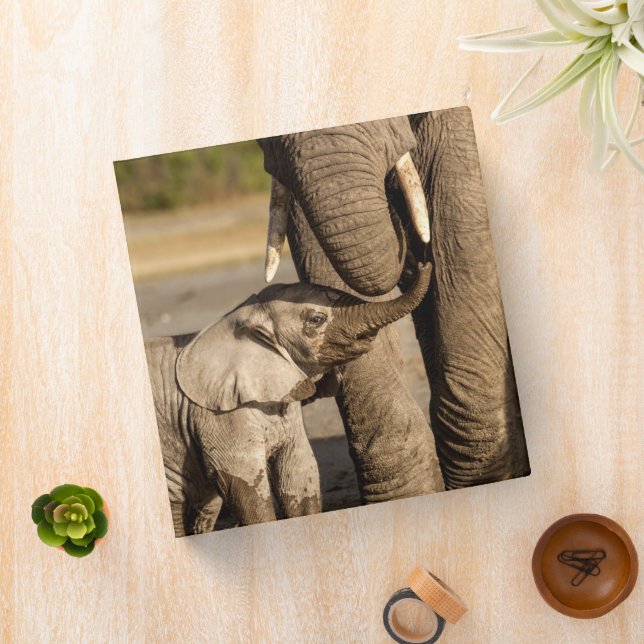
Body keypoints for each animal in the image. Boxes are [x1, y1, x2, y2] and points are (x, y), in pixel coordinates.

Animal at [145, 264, 431, 536]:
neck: (240, 320)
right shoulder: (218, 416)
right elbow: (243, 482)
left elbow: (299, 471)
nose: (423, 263)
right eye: (316, 319)